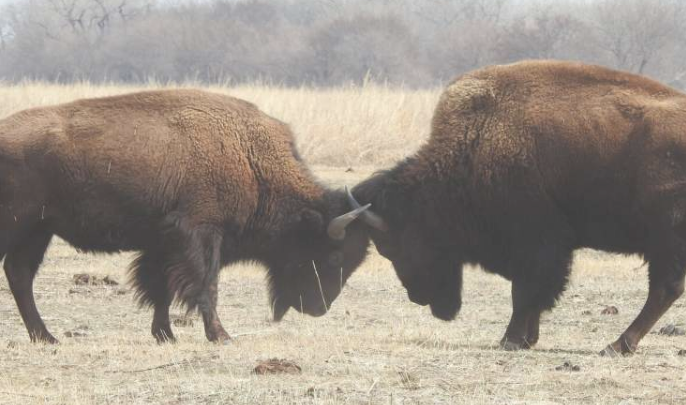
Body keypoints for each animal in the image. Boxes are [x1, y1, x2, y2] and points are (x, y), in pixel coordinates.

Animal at [0, 90, 370, 342]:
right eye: (334, 256)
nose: (318, 306)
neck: (249, 156)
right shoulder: (201, 234)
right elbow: (206, 285)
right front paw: (220, 336)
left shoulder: (164, 243)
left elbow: (160, 287)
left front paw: (165, 335)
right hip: (20, 226)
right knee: (19, 274)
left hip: (38, 231)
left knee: (20, 274)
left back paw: (46, 337)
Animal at [352, 60, 686, 354]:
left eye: (396, 247)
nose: (419, 298)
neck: (475, 143)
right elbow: (530, 295)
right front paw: (525, 339)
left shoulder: (536, 244)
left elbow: (524, 293)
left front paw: (511, 340)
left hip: (664, 240)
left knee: (664, 289)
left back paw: (617, 346)